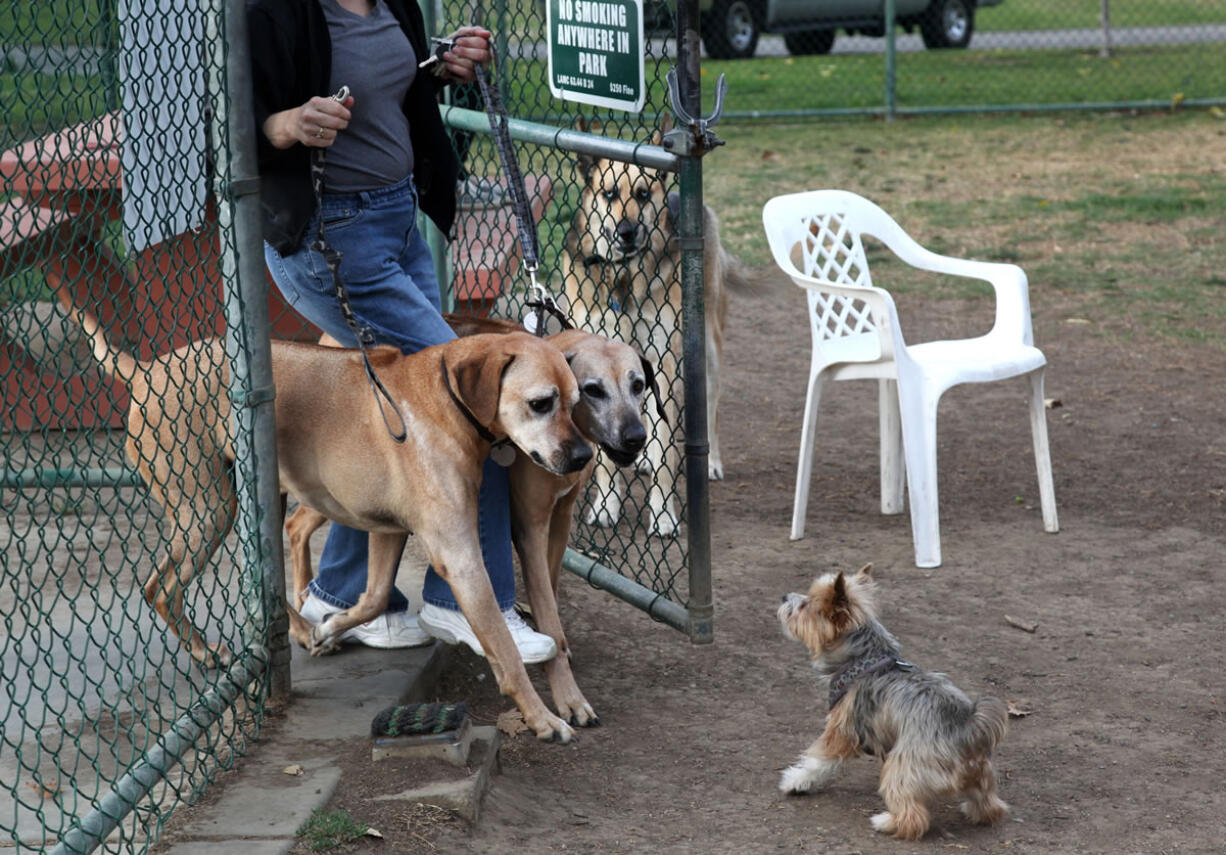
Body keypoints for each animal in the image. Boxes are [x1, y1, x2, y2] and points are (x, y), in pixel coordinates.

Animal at [67, 301, 593, 740]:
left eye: (576, 401)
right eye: (541, 402)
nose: (584, 457)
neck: (445, 398)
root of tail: (146, 370)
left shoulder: (387, 530)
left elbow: (373, 595)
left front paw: (330, 625)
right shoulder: (460, 556)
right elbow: (504, 648)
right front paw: (542, 718)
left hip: (261, 498)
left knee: (264, 586)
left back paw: (300, 630)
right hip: (208, 510)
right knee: (160, 586)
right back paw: (206, 650)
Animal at [288, 316, 666, 721]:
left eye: (638, 385)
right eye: (593, 390)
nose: (635, 437)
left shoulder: (561, 519)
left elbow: (550, 596)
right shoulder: (530, 527)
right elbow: (547, 611)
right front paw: (568, 696)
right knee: (295, 526)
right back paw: (307, 614)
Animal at [561, 118, 750, 534]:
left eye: (643, 194)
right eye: (609, 193)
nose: (627, 231)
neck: (624, 278)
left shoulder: (664, 361)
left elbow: (666, 450)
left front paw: (663, 515)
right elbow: (606, 458)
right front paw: (605, 507)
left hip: (707, 353)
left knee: (709, 410)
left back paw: (709, 462)